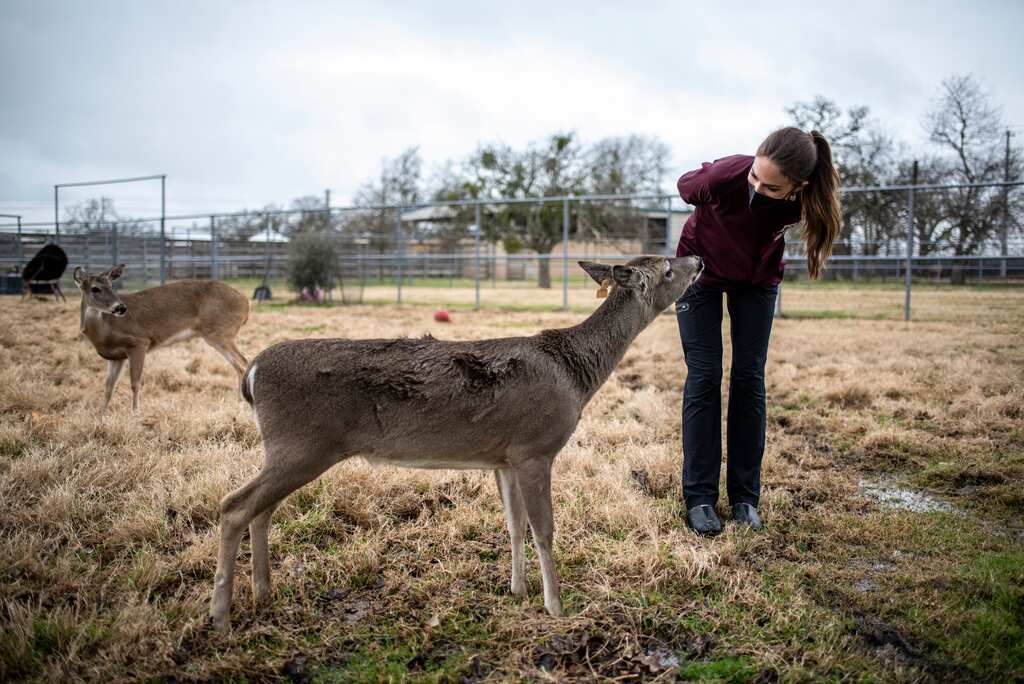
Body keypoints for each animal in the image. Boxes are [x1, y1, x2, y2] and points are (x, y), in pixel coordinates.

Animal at [73, 265, 251, 415]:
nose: (121, 307)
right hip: (216, 336)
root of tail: (246, 303)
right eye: (95, 289)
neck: (104, 330)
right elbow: (108, 387)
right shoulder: (116, 357)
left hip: (222, 332)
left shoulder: (139, 342)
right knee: (240, 367)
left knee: (245, 362)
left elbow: (135, 383)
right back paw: (239, 404)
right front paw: (101, 417)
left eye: (112, 286)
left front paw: (135, 414)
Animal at [209, 255, 703, 631]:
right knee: (234, 505)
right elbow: (543, 529)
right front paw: (556, 607)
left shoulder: (504, 456)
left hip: (289, 448)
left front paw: (517, 591)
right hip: (302, 443)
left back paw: (263, 593)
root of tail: (251, 374)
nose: (697, 259)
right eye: (666, 269)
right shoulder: (535, 447)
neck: (575, 375)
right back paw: (220, 616)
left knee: (260, 508)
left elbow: (513, 525)